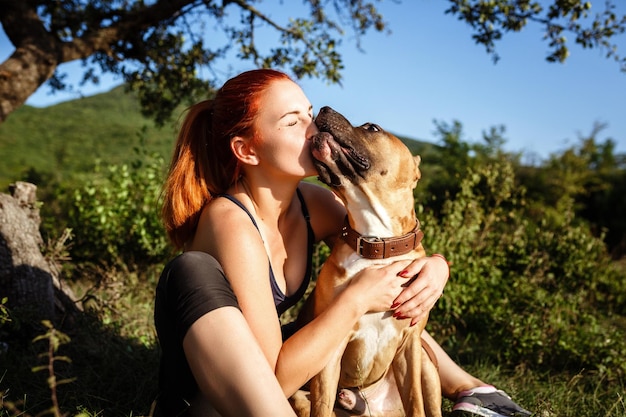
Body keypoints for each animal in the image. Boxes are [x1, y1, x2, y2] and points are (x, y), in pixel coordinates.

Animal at [294, 107, 442, 416]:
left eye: (372, 128)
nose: (324, 108)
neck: (377, 243)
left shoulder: (410, 346)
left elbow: (416, 403)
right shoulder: (331, 346)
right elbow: (321, 406)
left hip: (426, 364)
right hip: (301, 396)